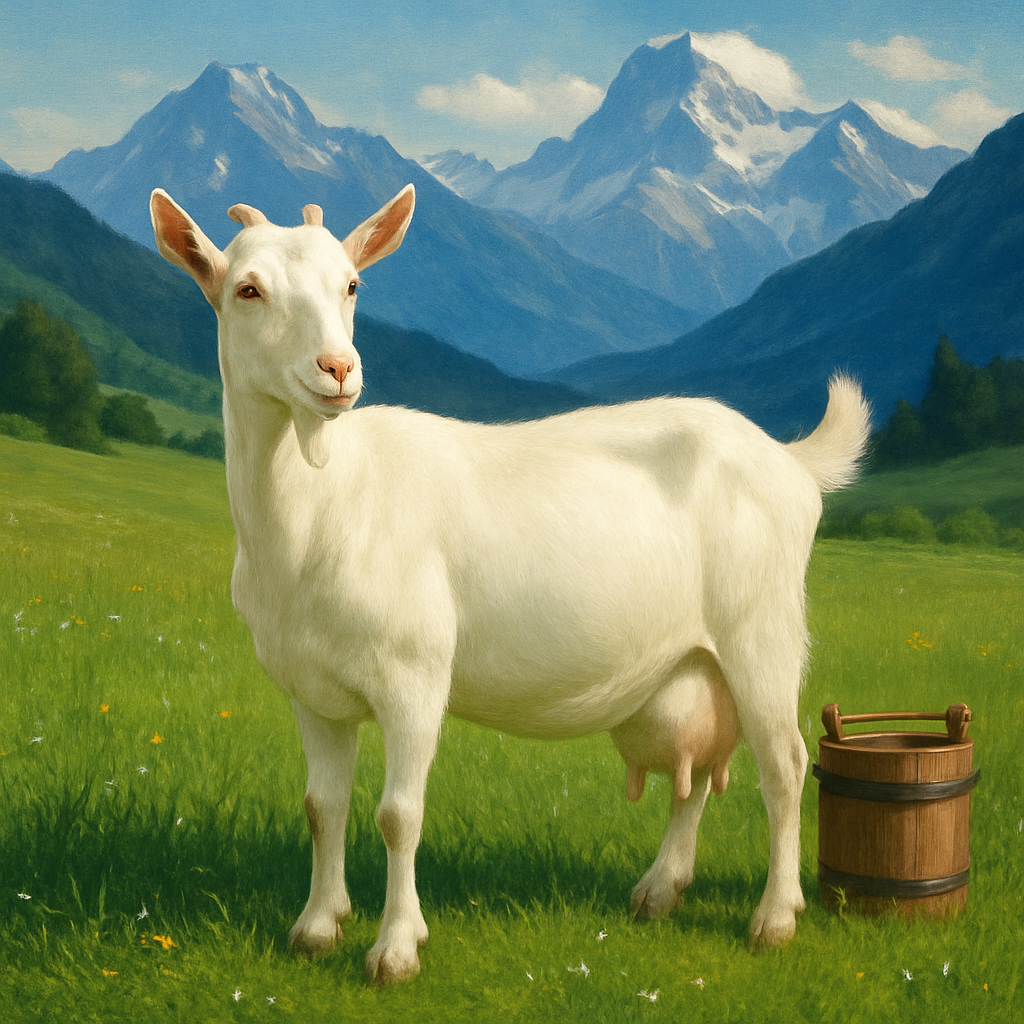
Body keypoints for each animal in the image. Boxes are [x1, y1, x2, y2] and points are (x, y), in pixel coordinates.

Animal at [150, 184, 871, 985]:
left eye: (352, 285)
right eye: (247, 290)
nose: (337, 369)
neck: (323, 501)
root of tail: (789, 459)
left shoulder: (413, 675)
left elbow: (398, 815)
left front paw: (396, 948)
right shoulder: (314, 691)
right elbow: (322, 806)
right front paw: (316, 926)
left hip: (763, 631)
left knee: (784, 765)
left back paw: (775, 918)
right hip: (699, 661)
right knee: (700, 769)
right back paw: (661, 889)